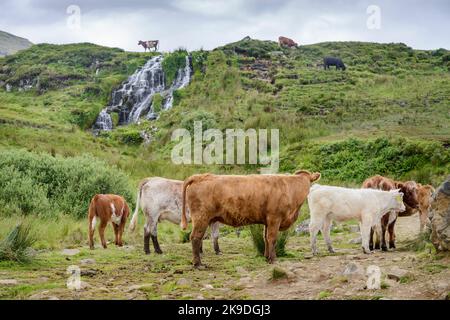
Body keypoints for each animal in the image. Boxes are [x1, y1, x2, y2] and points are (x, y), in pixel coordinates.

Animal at [179, 171, 320, 266]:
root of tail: (200, 176)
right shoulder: (274, 218)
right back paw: (198, 264)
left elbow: (265, 238)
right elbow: (272, 238)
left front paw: (266, 257)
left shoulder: (267, 221)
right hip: (201, 218)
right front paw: (274, 259)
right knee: (195, 237)